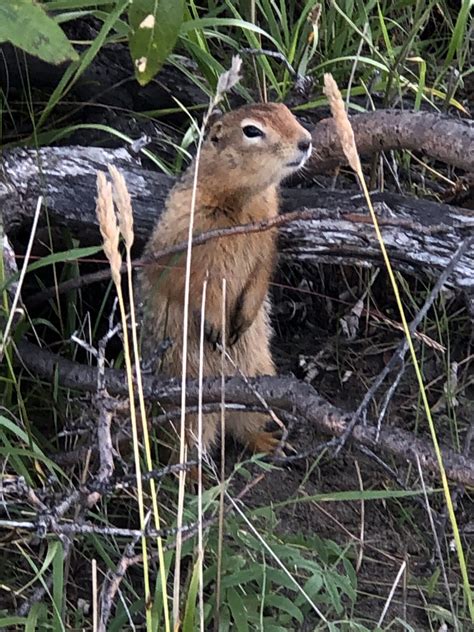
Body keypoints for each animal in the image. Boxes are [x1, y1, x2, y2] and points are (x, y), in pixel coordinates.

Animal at [140, 105, 312, 454]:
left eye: (287, 111)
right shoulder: (189, 234)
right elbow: (193, 281)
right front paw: (216, 325)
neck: (241, 200)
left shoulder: (268, 228)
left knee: (242, 426)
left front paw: (243, 319)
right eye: (251, 131)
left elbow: (262, 270)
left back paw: (271, 442)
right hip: (189, 400)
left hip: (259, 376)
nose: (306, 141)